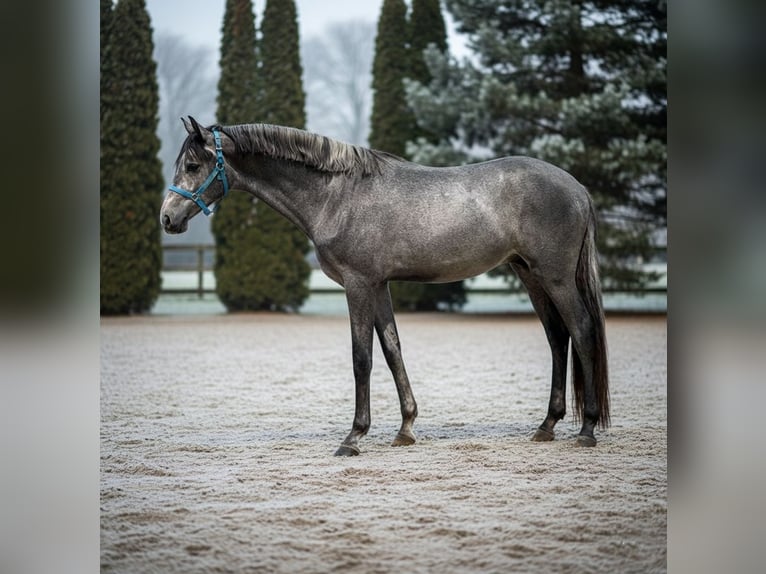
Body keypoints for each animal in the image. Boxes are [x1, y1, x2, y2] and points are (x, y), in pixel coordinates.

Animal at [160, 116, 609, 456]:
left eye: (194, 166)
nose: (167, 218)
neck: (337, 195)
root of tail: (577, 188)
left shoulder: (358, 285)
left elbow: (362, 358)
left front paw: (353, 436)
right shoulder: (378, 286)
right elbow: (393, 351)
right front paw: (406, 428)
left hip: (554, 277)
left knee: (582, 330)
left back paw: (586, 430)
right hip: (530, 275)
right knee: (558, 338)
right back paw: (547, 425)